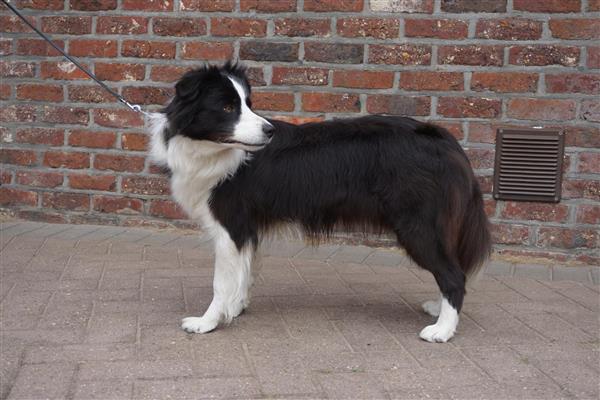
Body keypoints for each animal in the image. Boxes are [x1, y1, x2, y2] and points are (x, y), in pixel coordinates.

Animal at [148, 61, 490, 340]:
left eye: (246, 104)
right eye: (228, 107)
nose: (269, 131)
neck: (211, 149)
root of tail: (445, 140)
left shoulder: (230, 224)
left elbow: (221, 281)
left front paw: (207, 322)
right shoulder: (248, 227)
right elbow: (244, 271)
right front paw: (235, 307)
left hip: (417, 226)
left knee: (454, 275)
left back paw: (442, 330)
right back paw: (438, 309)